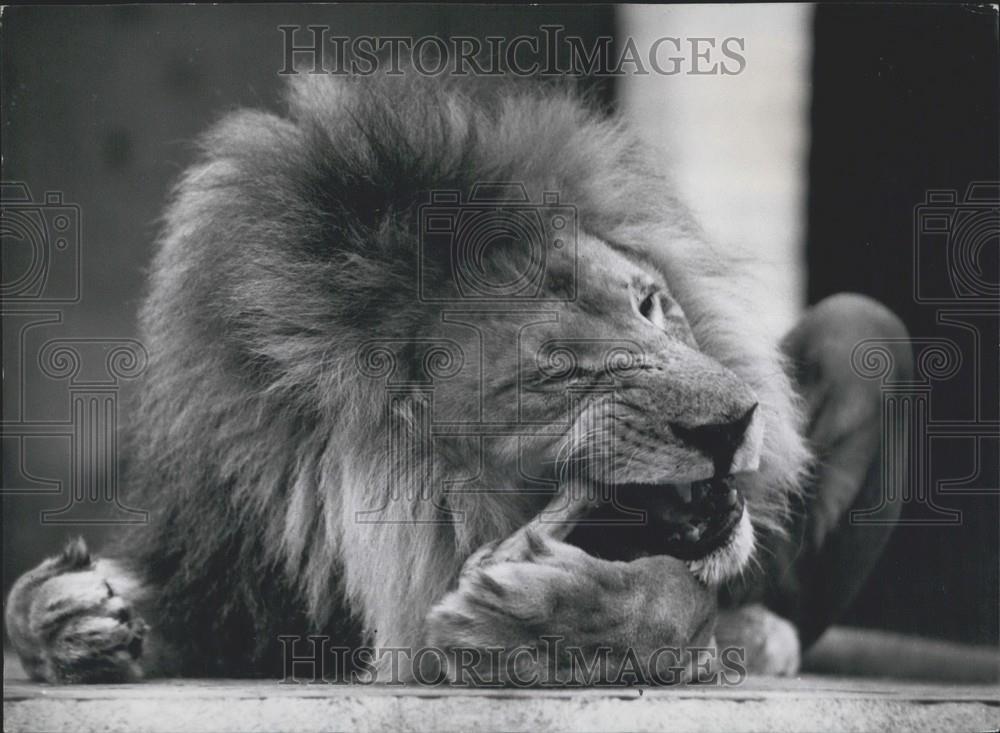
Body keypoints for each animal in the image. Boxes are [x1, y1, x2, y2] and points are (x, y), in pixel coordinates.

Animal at [3, 71, 912, 684]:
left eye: (651, 304)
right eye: (559, 372)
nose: (737, 421)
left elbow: (684, 601)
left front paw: (547, 622)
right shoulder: (241, 582)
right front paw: (61, 612)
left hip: (866, 334)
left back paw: (760, 634)